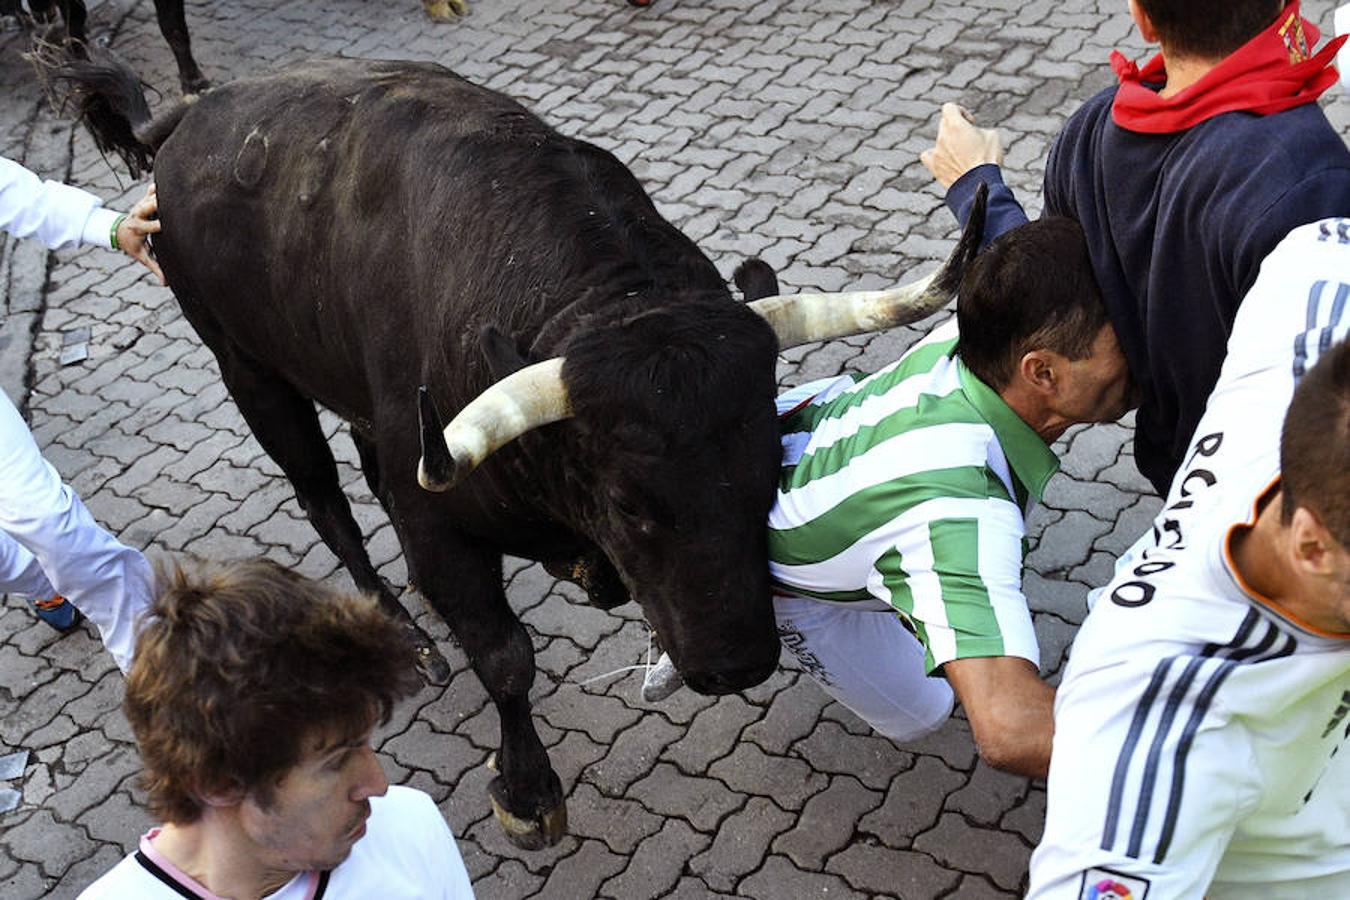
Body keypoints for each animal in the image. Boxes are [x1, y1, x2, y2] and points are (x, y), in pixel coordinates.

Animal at [52, 52, 982, 847]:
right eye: (628, 504)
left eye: (771, 469)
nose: (736, 664)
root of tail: (193, 115)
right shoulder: (439, 519)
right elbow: (505, 658)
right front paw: (528, 792)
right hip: (248, 368)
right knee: (324, 498)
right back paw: (405, 631)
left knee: (365, 466)